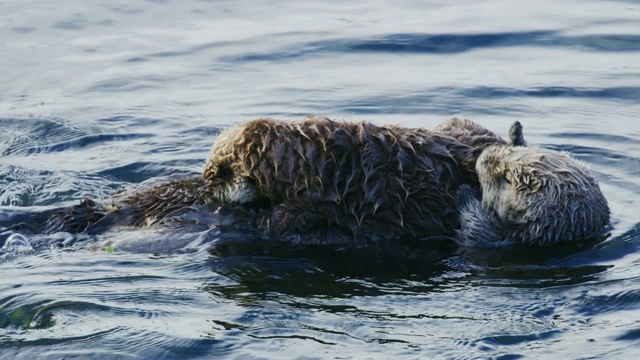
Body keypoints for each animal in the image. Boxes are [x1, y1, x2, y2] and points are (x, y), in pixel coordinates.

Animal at [1, 0, 640, 360]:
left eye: (513, 180)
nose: (487, 161)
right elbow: (459, 128)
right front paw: (494, 135)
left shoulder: (479, 240)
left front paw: (465, 186)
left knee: (263, 161)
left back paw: (226, 169)